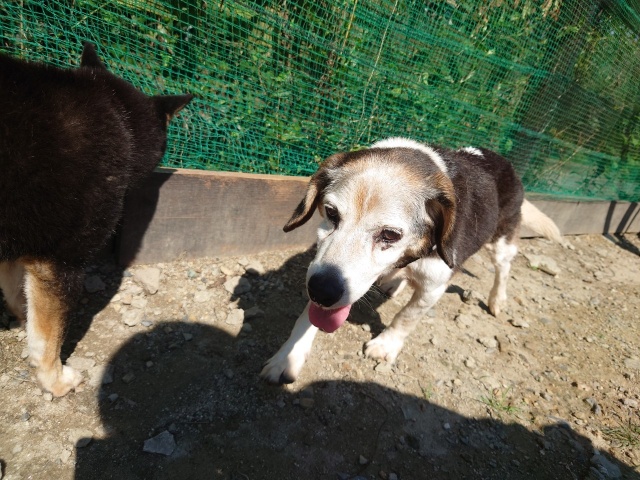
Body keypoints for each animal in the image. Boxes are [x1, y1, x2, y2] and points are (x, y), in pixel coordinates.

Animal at [0, 43, 192, 396]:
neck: (117, 117)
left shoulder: (21, 245)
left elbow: (18, 293)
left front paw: (21, 317)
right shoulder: (60, 262)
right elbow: (48, 337)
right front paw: (54, 378)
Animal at [261, 137, 566, 384]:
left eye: (390, 234)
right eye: (331, 213)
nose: (321, 291)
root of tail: (501, 159)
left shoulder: (434, 284)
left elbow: (406, 317)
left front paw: (385, 345)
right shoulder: (323, 268)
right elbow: (307, 317)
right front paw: (287, 357)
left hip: (501, 242)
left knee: (503, 269)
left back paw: (497, 299)